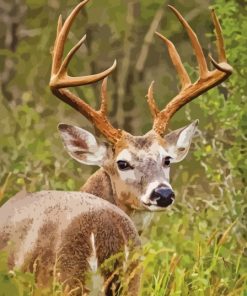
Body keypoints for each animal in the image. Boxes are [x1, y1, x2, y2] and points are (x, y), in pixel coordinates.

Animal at [0, 0, 232, 294]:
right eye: (122, 163)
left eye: (167, 159)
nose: (163, 193)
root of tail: (104, 233)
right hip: (131, 278)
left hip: (65, 277)